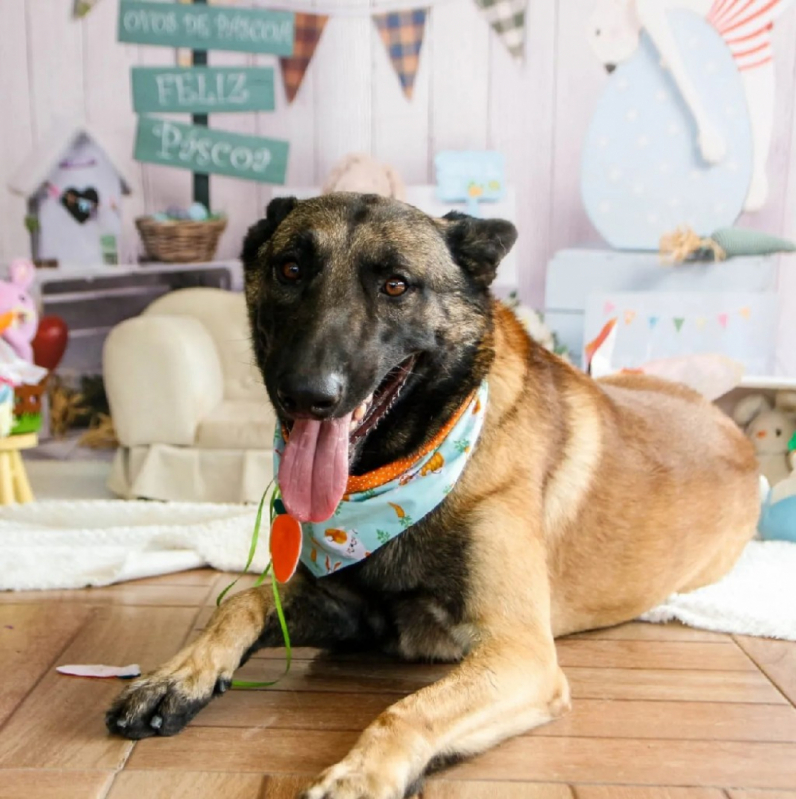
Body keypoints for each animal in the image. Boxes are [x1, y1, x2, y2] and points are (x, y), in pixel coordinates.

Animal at [105, 194, 760, 799]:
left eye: (396, 285)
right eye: (290, 269)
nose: (307, 395)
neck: (404, 468)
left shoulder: (521, 655)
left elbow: (409, 710)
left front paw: (360, 777)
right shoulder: (350, 610)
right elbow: (243, 600)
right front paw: (176, 675)